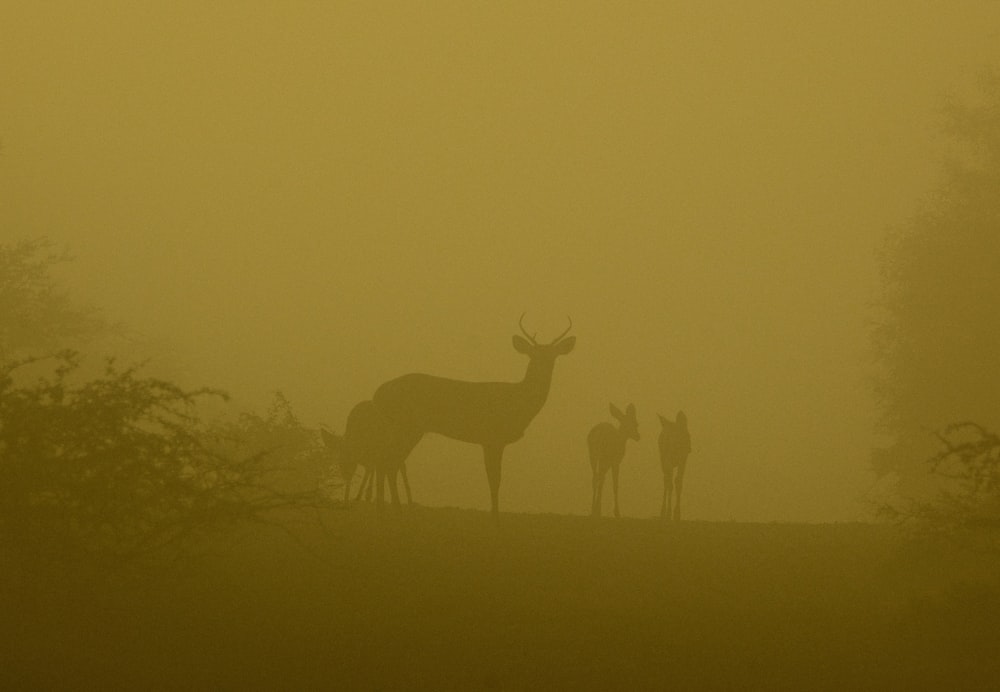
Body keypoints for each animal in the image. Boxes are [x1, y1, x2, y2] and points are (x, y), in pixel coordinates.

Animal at [370, 314, 576, 520]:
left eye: (553, 356)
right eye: (533, 355)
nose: (543, 367)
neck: (518, 401)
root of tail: (378, 393)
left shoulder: (490, 441)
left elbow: (494, 477)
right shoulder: (492, 438)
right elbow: (494, 478)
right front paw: (495, 518)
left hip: (404, 429)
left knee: (387, 461)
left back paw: (388, 510)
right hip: (405, 426)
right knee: (387, 461)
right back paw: (390, 510)